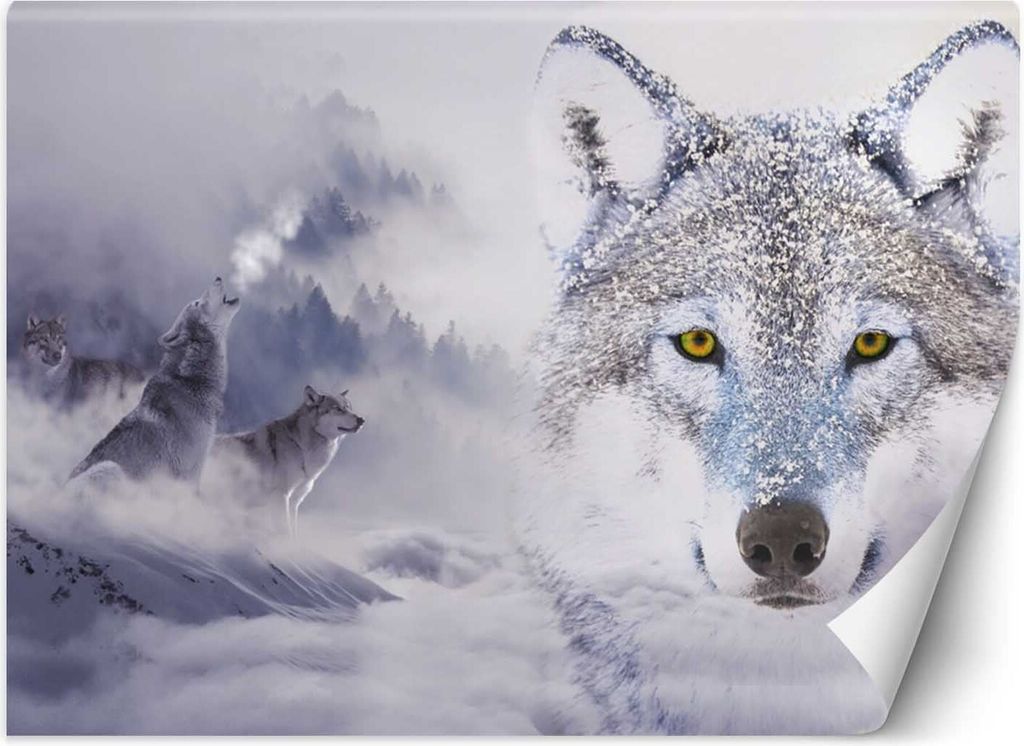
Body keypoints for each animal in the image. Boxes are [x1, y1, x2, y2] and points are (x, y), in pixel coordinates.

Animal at [213, 385, 365, 536]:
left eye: (350, 408)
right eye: (338, 409)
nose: (361, 419)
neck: (300, 446)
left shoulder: (294, 502)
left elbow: (294, 532)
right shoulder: (281, 496)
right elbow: (286, 531)